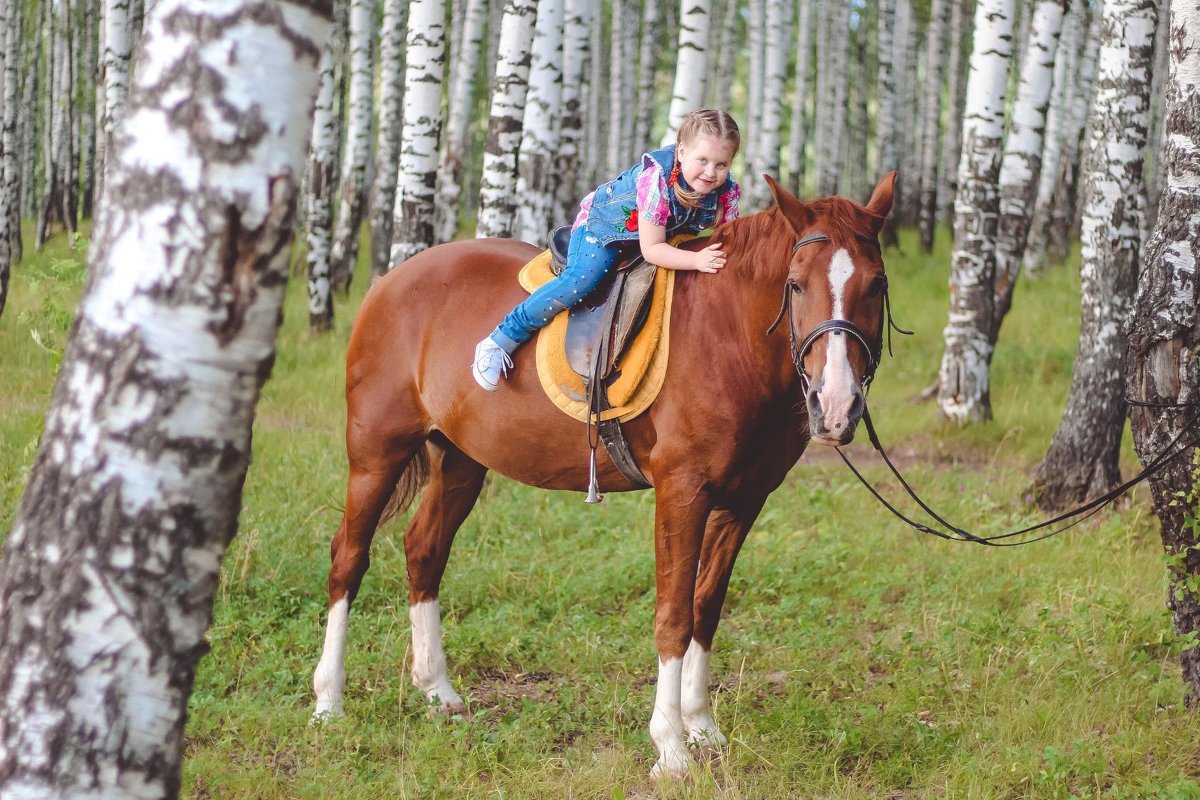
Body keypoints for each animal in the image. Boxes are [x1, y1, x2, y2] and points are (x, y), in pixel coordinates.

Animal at [314, 173, 897, 777]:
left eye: (876, 285)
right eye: (796, 286)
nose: (836, 405)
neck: (728, 337)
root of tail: (391, 281)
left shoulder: (743, 500)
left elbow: (706, 609)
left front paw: (702, 727)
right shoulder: (682, 493)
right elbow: (673, 616)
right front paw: (670, 747)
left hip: (459, 459)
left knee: (424, 549)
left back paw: (438, 691)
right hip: (376, 453)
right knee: (348, 557)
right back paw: (329, 702)